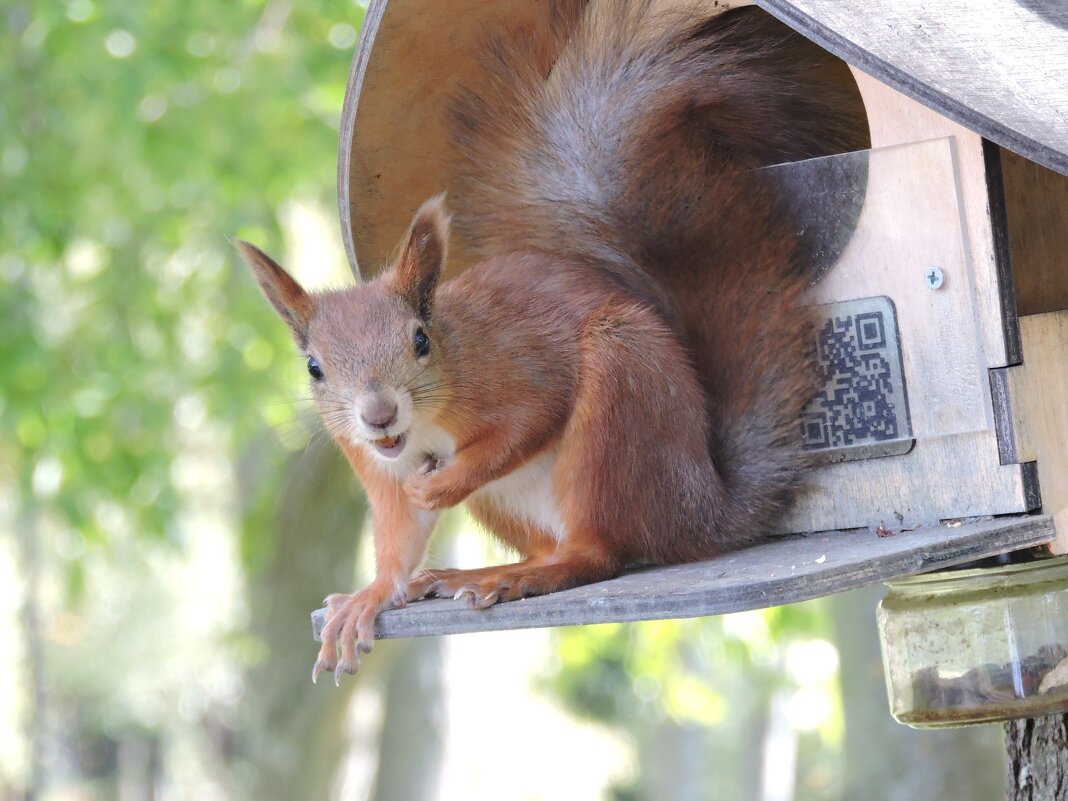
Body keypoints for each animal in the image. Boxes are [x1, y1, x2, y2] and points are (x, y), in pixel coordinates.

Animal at [236, 3, 867, 687]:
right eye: (314, 368)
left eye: (420, 340)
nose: (378, 415)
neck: (429, 420)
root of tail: (705, 507)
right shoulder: (372, 461)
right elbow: (399, 532)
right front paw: (372, 596)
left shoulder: (517, 369)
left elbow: (527, 421)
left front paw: (442, 486)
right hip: (514, 503)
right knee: (560, 544)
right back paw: (487, 571)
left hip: (620, 397)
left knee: (600, 551)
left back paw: (531, 573)